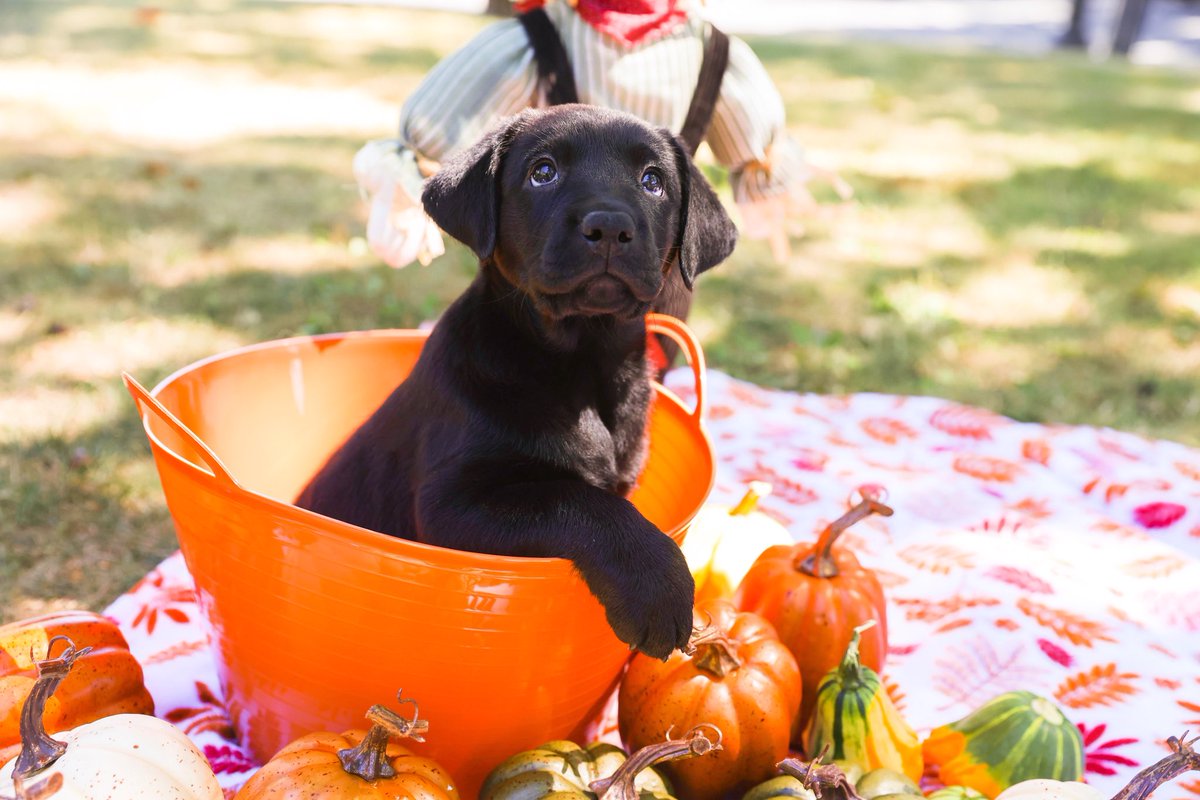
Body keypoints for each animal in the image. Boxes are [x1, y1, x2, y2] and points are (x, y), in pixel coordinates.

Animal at [295, 104, 734, 657]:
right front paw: (659, 583)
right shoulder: (449, 503)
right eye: (543, 172)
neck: (579, 361)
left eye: (653, 181)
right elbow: (576, 501)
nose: (610, 226)